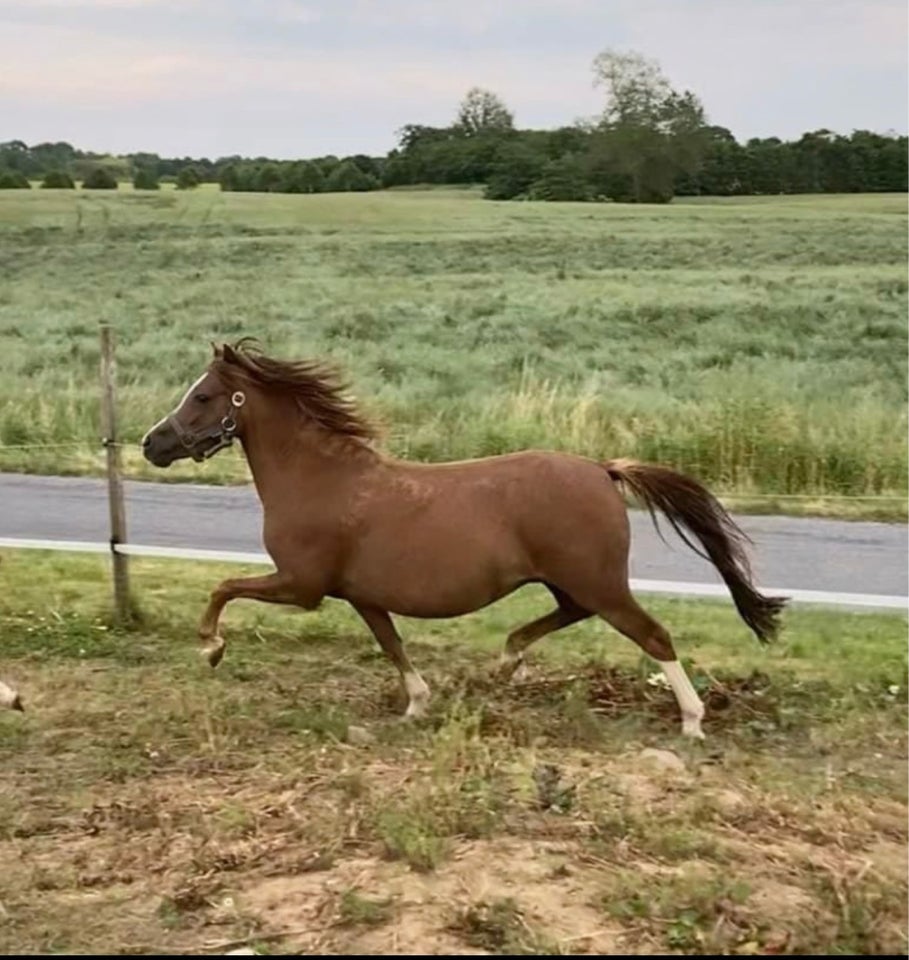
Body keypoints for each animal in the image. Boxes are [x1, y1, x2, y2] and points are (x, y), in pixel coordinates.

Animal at [140, 342, 780, 740]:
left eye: (202, 396)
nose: (152, 444)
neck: (321, 479)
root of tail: (603, 470)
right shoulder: (361, 596)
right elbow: (392, 646)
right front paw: (417, 705)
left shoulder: (302, 586)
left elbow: (224, 587)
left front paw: (211, 647)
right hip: (570, 581)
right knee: (568, 616)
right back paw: (509, 657)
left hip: (599, 583)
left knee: (654, 635)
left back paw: (692, 720)